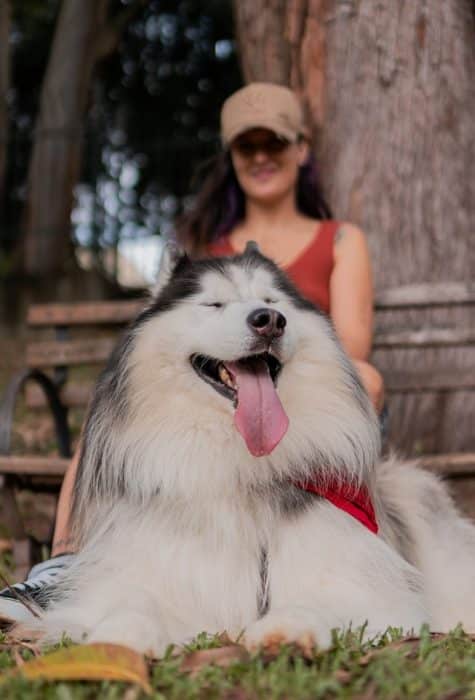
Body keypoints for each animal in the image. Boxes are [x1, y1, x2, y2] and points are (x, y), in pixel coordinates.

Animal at [20, 243, 475, 652]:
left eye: (272, 301)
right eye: (214, 304)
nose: (269, 320)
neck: (239, 466)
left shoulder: (366, 586)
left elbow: (315, 601)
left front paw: (288, 630)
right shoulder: (152, 571)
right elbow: (133, 604)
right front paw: (116, 640)